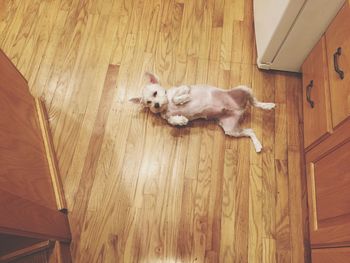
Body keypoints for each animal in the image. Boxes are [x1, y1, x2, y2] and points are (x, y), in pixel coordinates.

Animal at [130, 72, 274, 153]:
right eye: (148, 102)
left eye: (155, 93)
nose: (156, 105)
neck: (166, 106)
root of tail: (240, 110)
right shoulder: (168, 116)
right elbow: (172, 120)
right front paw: (181, 120)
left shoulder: (184, 87)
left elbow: (177, 96)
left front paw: (183, 99)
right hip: (230, 129)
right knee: (250, 131)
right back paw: (257, 145)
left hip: (243, 88)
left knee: (255, 103)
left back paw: (268, 105)